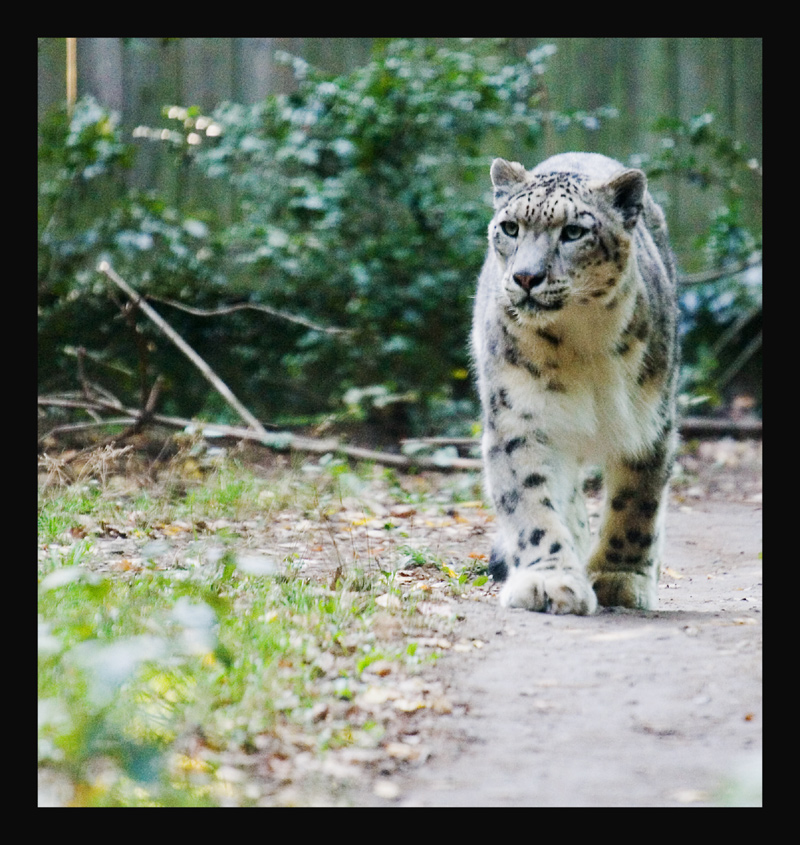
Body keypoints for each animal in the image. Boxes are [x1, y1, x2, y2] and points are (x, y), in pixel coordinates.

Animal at [471, 152, 679, 615]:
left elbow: (636, 503)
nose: (526, 277)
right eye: (510, 227)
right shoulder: (518, 418)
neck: (579, 343)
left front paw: (620, 577)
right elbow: (531, 500)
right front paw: (548, 581)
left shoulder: (648, 424)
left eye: (573, 232)